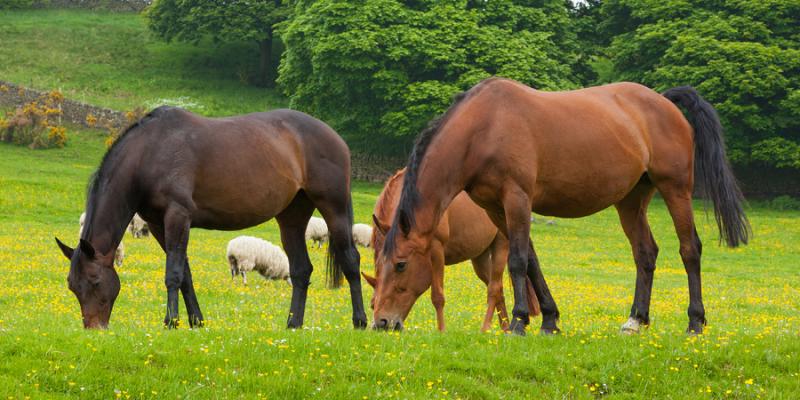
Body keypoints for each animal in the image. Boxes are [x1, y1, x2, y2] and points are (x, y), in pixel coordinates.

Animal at [54, 106, 368, 328]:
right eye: (73, 286)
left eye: (95, 281)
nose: (94, 327)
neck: (150, 152)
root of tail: (336, 137)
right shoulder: (157, 224)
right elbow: (185, 274)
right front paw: (195, 321)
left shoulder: (178, 216)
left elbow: (174, 273)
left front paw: (170, 321)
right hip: (292, 216)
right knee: (301, 270)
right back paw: (293, 324)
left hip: (334, 208)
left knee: (351, 261)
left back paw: (361, 321)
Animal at [364, 169, 540, 332]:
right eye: (380, 264)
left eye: (401, 265)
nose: (381, 323)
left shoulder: (436, 250)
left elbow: (437, 296)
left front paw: (442, 331)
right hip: (480, 258)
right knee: (498, 290)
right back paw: (505, 330)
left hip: (501, 246)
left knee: (494, 289)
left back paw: (485, 329)